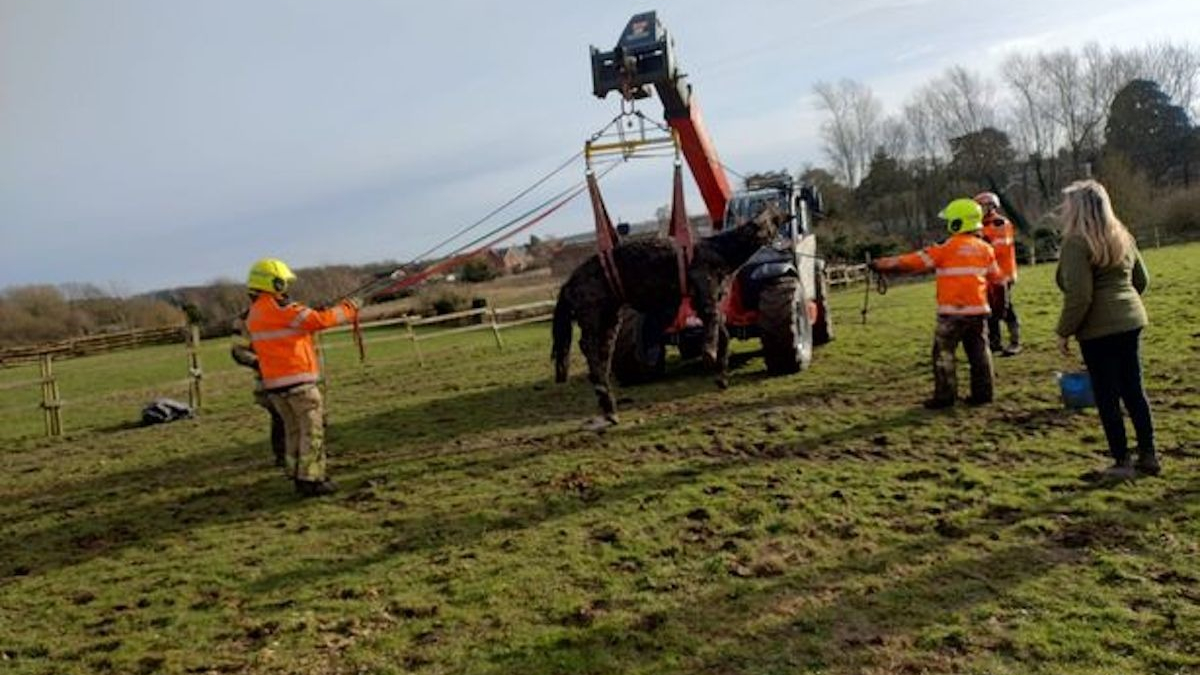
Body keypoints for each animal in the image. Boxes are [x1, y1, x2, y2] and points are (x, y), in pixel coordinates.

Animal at [549, 207, 782, 422]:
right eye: (771, 220)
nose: (784, 217)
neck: (720, 250)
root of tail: (568, 284)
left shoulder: (700, 301)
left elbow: (722, 331)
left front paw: (721, 376)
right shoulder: (704, 290)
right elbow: (714, 320)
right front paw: (709, 355)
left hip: (611, 317)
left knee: (601, 351)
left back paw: (609, 404)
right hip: (593, 313)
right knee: (587, 345)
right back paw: (605, 396)